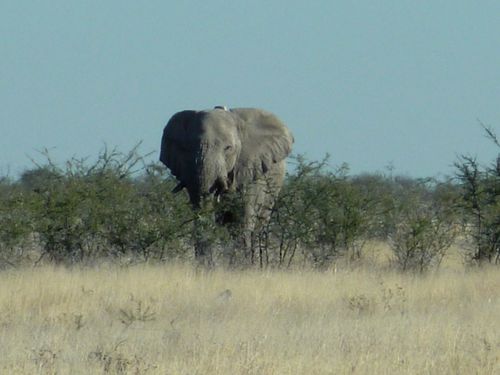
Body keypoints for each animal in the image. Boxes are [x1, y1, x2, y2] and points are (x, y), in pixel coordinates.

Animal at [160, 106, 292, 264]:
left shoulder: (250, 167)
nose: (207, 263)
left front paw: (242, 265)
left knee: (259, 223)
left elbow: (244, 217)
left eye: (228, 148)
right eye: (188, 148)